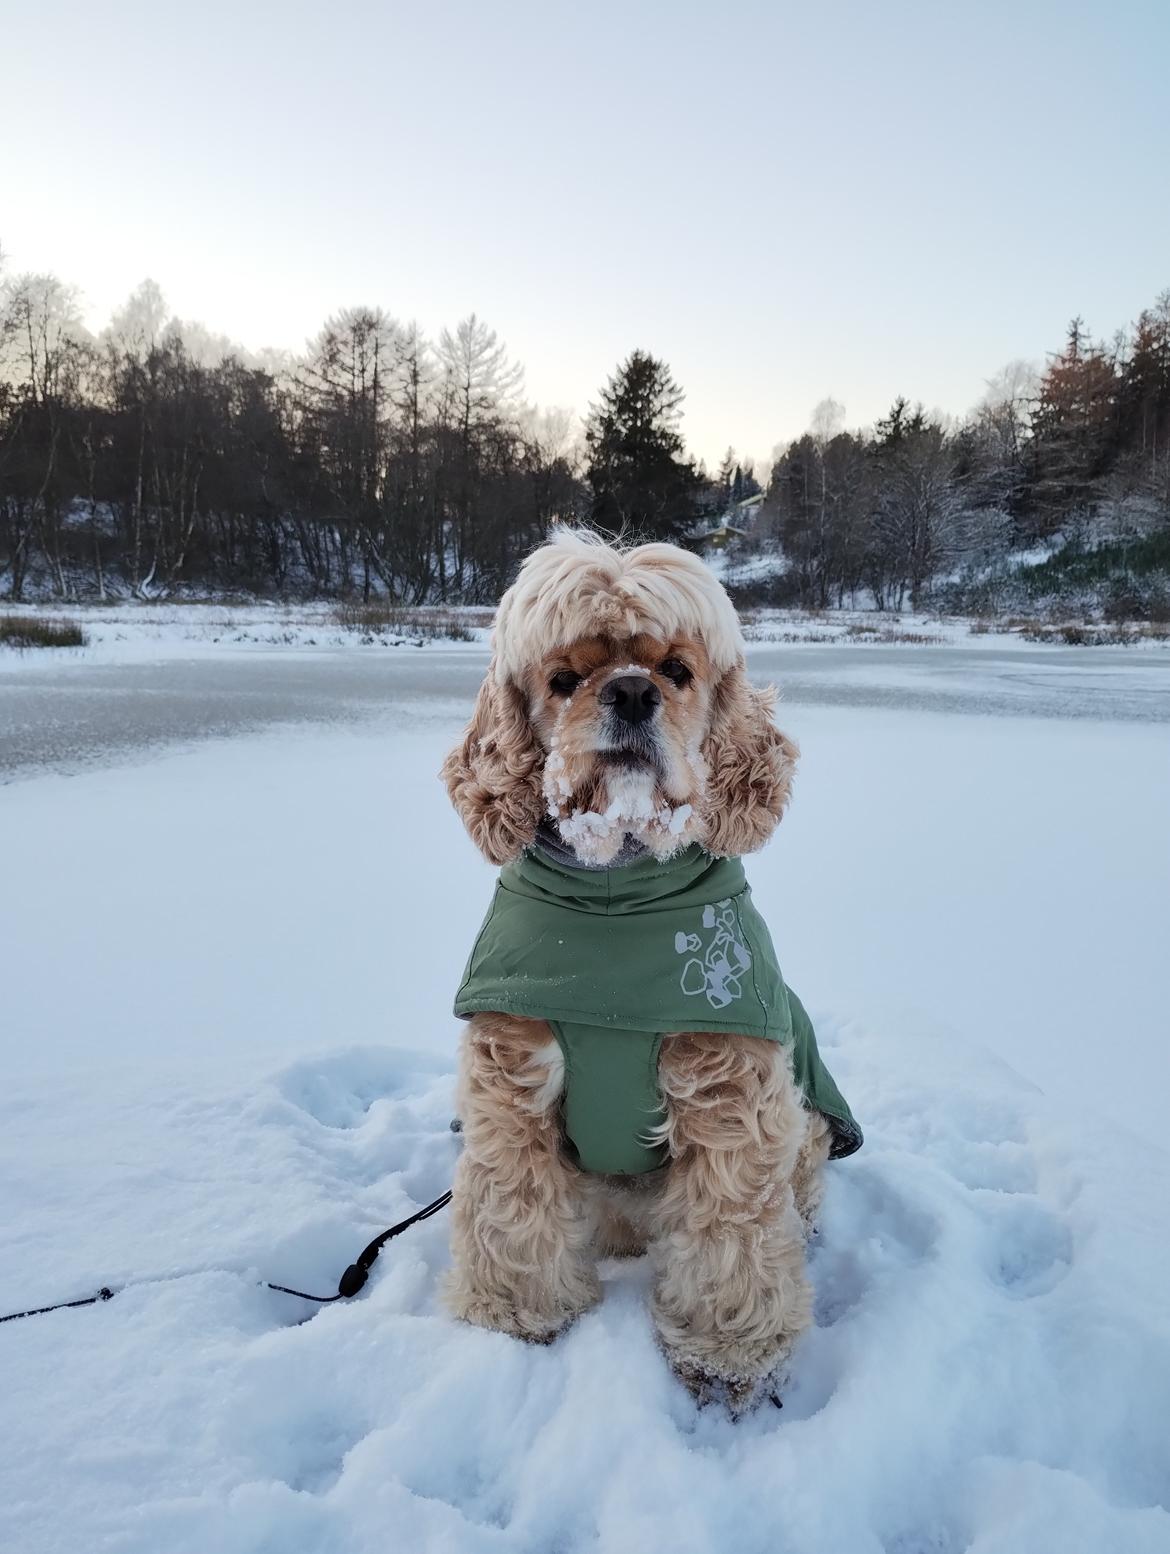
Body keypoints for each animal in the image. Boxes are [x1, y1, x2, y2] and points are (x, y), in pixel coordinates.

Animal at [438, 528, 857, 1417]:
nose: (630, 691)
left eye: (677, 670)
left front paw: (730, 1361)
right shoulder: (512, 1082)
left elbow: (733, 1235)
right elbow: (511, 1208)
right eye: (563, 679)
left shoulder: (731, 1091)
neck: (612, 902)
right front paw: (517, 1318)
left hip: (810, 1127)